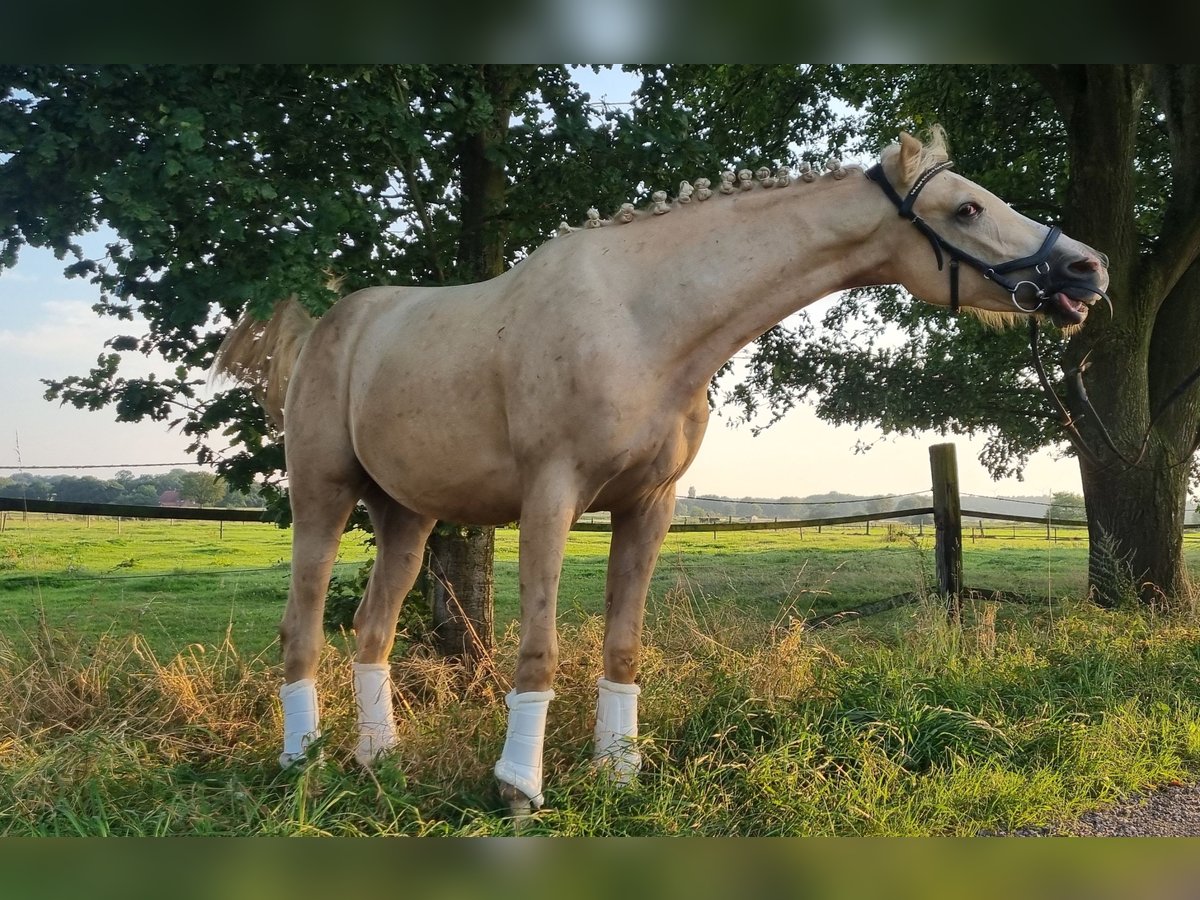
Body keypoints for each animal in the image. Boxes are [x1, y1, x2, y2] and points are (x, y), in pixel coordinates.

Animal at [213, 132, 1104, 816]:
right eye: (966, 209)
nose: (1086, 270)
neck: (642, 317)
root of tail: (324, 327)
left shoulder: (649, 506)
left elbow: (623, 646)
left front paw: (620, 773)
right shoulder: (551, 499)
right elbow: (539, 651)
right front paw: (518, 789)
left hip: (407, 515)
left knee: (371, 633)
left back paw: (379, 761)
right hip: (324, 500)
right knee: (301, 630)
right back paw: (303, 762)